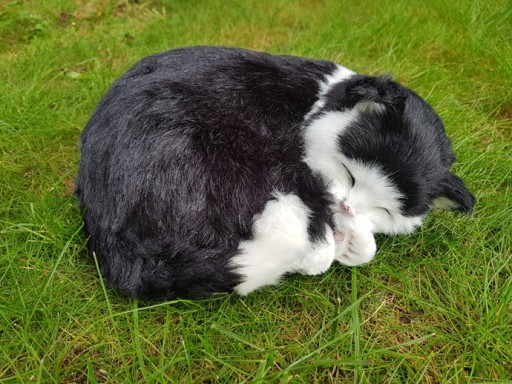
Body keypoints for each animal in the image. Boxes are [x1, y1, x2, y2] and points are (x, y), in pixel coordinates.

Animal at [76, 45, 476, 300]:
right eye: (348, 172)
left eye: (385, 210)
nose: (347, 206)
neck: (319, 98)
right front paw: (340, 239)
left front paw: (352, 239)